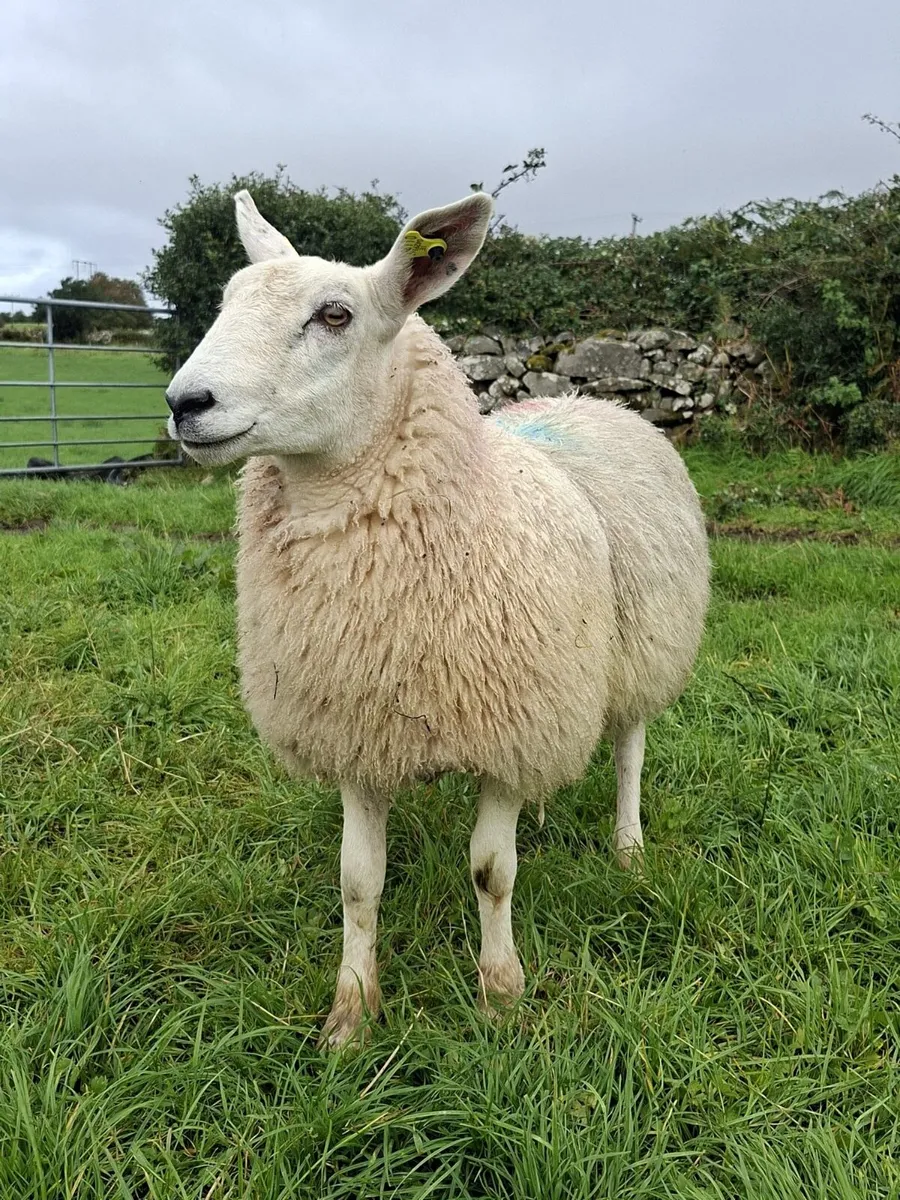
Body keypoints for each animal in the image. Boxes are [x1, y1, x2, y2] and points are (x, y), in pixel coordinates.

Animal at [164, 188, 711, 1049]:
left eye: (336, 315)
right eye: (225, 304)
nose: (186, 404)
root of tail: (588, 396)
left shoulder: (509, 720)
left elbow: (491, 872)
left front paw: (501, 994)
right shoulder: (358, 726)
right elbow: (358, 882)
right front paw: (352, 1013)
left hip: (641, 649)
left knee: (628, 749)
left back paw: (628, 846)